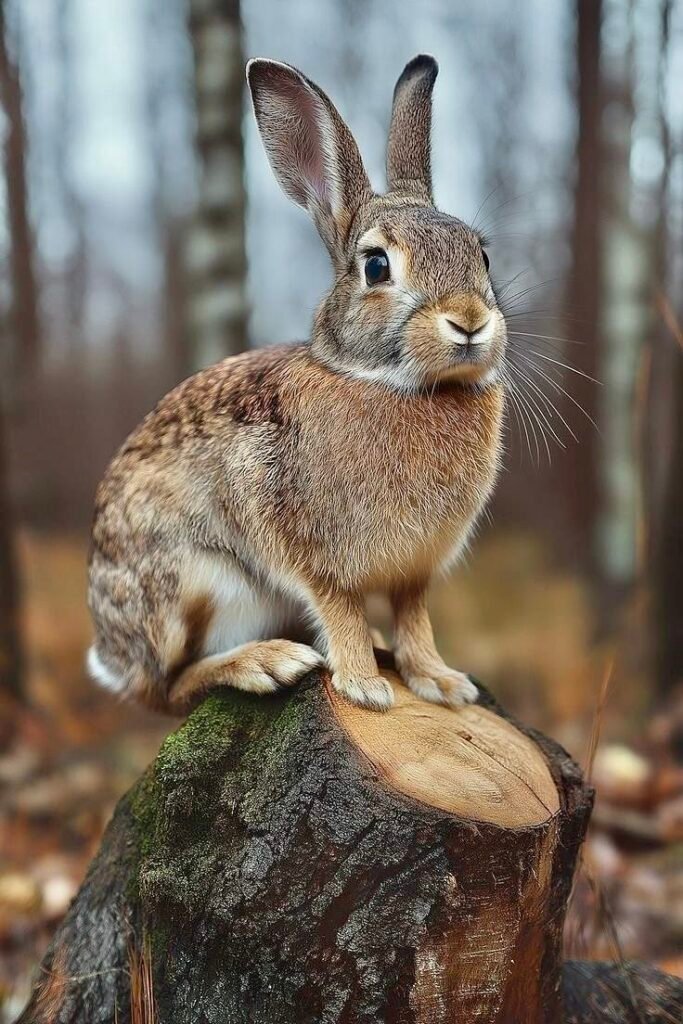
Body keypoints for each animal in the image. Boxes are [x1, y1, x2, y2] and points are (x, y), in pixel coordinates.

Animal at [87, 54, 507, 715]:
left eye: (481, 256)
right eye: (377, 266)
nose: (469, 320)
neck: (389, 383)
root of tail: (111, 655)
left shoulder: (415, 573)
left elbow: (414, 620)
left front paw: (442, 683)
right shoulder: (311, 553)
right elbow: (341, 611)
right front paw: (365, 688)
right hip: (195, 584)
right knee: (170, 687)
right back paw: (267, 661)